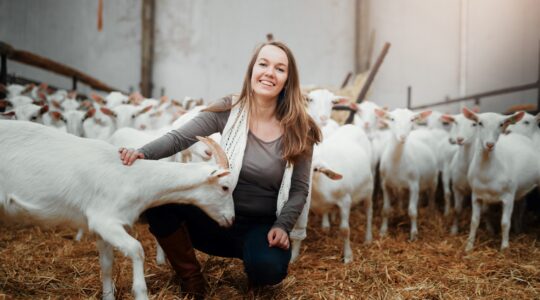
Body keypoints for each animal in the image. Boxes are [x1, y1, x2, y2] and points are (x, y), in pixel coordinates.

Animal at [1, 120, 235, 300]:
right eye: (225, 187)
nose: (231, 219)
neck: (133, 177)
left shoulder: (102, 228)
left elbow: (106, 265)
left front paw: (108, 295)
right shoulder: (105, 220)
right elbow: (137, 250)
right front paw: (140, 293)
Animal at [462, 109, 536, 252]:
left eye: (501, 124)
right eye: (480, 123)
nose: (490, 144)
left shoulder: (508, 196)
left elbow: (505, 223)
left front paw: (505, 248)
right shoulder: (476, 195)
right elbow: (474, 221)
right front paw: (469, 246)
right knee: (521, 205)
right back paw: (518, 228)